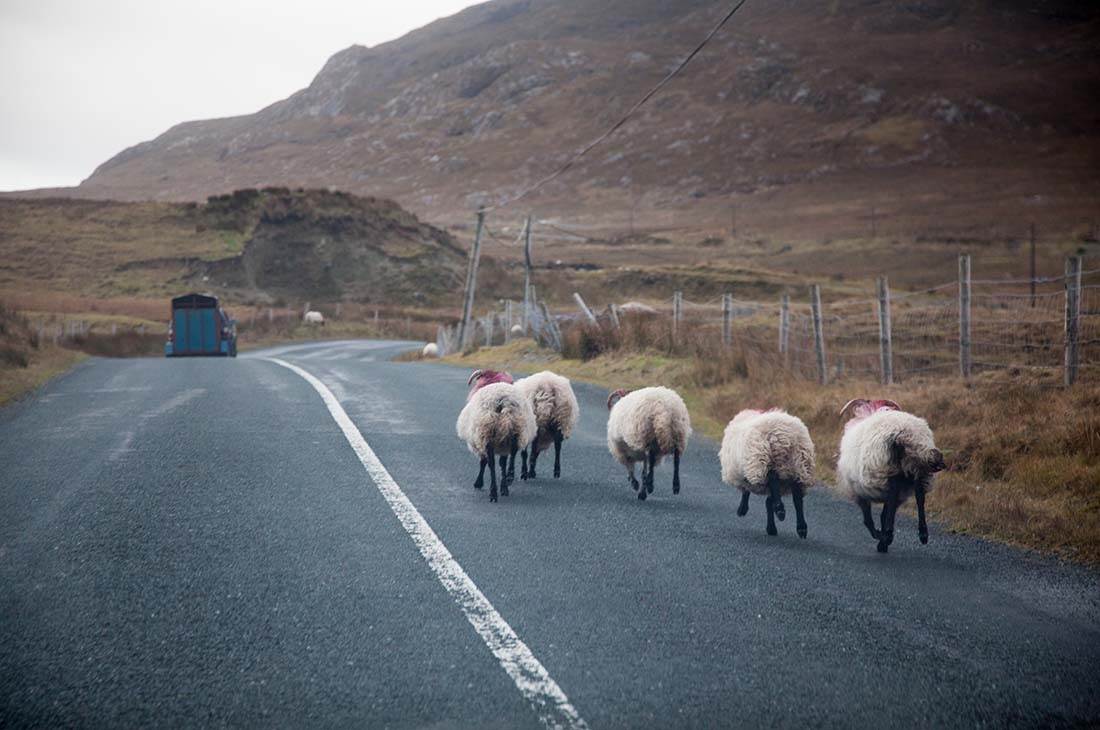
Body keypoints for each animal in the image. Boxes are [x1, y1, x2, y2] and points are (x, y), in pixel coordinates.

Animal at [455, 371, 536, 501]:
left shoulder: (480, 441)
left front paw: (479, 483)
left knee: (491, 464)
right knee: (511, 455)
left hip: (488, 434)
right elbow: (502, 463)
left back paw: (493, 492)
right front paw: (503, 485)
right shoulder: (501, 444)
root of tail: (503, 401)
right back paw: (508, 480)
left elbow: (483, 462)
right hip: (514, 433)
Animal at [717, 406, 814, 538]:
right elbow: (768, 502)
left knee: (773, 478)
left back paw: (780, 510)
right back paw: (801, 527)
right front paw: (771, 528)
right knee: (797, 497)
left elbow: (747, 491)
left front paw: (742, 509)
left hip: (764, 460)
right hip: (800, 465)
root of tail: (783, 435)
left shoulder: (747, 472)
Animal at [831, 400, 946, 554]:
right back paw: (922, 533)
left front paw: (880, 536)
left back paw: (888, 536)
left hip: (888, 471)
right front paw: (883, 536)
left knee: (893, 496)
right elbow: (883, 514)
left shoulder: (859, 492)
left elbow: (868, 519)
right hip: (919, 469)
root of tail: (905, 433)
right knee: (919, 496)